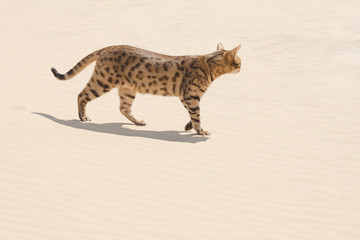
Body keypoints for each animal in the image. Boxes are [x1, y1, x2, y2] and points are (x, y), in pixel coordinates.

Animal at [50, 43, 240, 135]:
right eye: (239, 61)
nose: (241, 67)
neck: (209, 63)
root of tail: (109, 46)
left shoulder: (185, 96)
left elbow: (192, 115)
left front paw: (189, 127)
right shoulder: (191, 96)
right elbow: (197, 116)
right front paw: (200, 131)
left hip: (127, 89)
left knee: (123, 108)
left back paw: (138, 121)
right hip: (103, 81)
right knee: (81, 95)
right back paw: (83, 117)